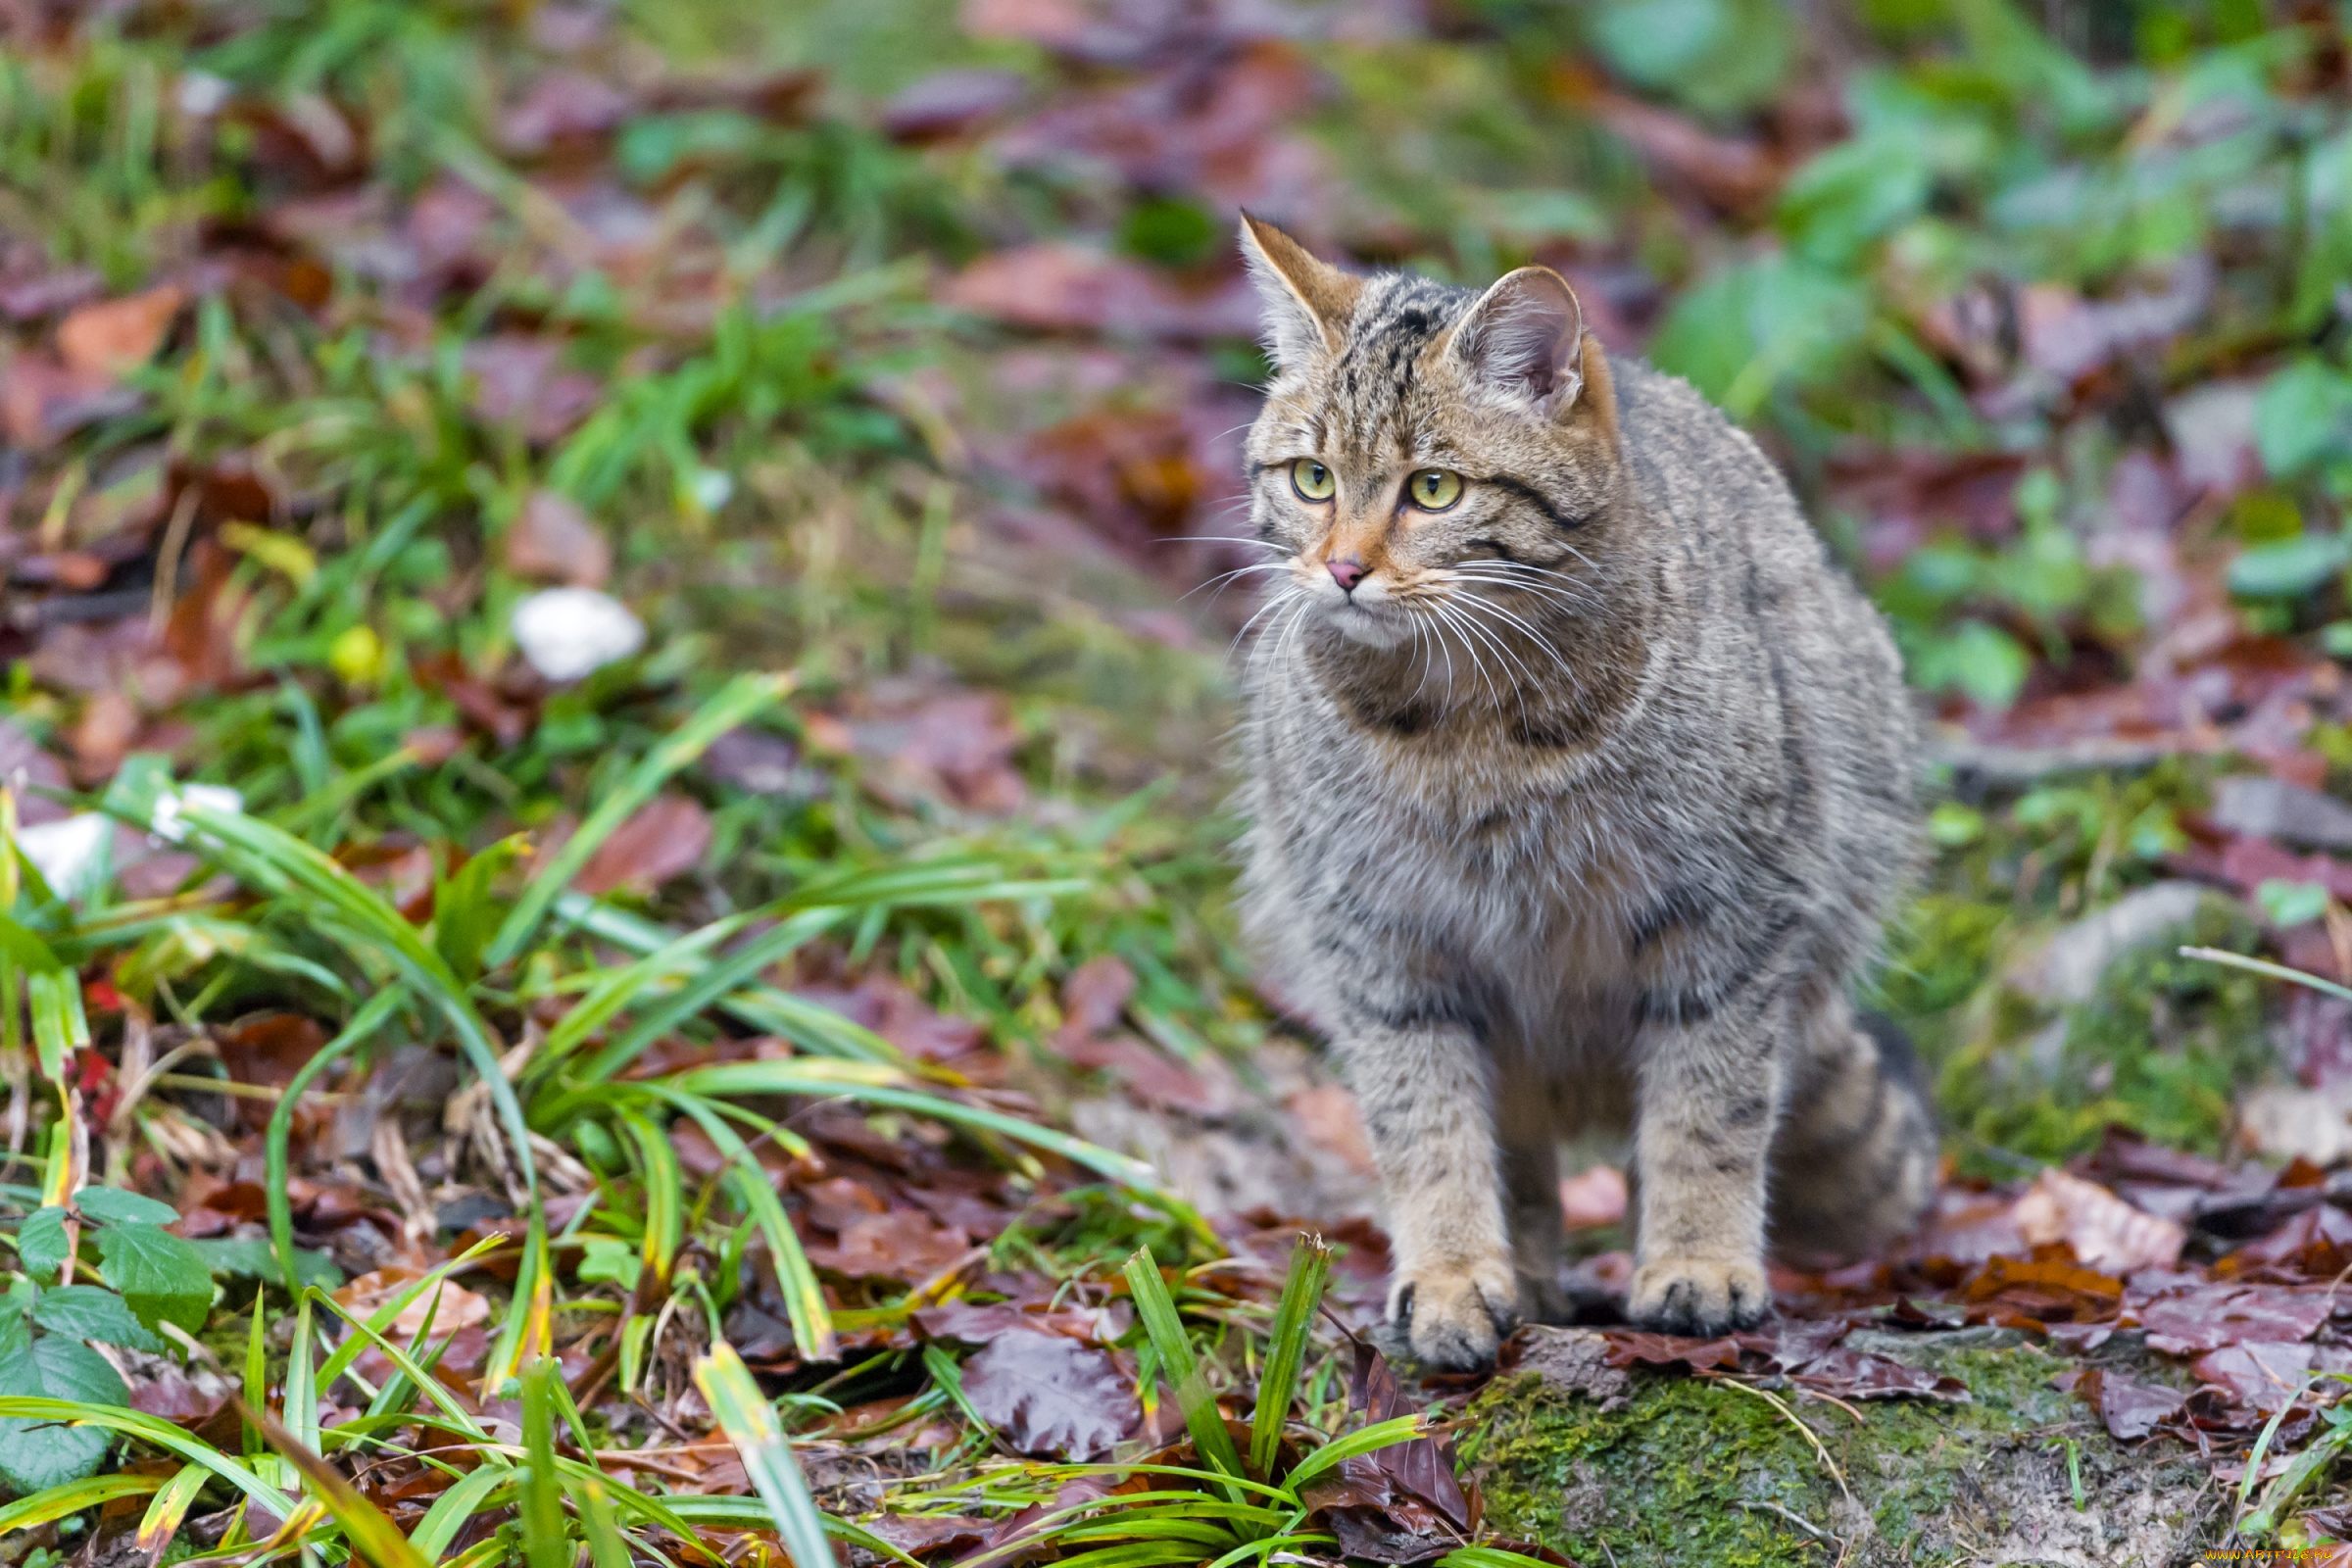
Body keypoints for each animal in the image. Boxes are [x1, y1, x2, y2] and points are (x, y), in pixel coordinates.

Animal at [1232, 215, 1929, 1363]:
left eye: (1434, 489)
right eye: (1312, 478)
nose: (1340, 569)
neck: (1466, 731)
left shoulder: (1730, 924)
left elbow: (1709, 1109)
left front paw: (1698, 1261)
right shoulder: (1383, 943)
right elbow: (1425, 1128)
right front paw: (1453, 1275)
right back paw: (1523, 1277)